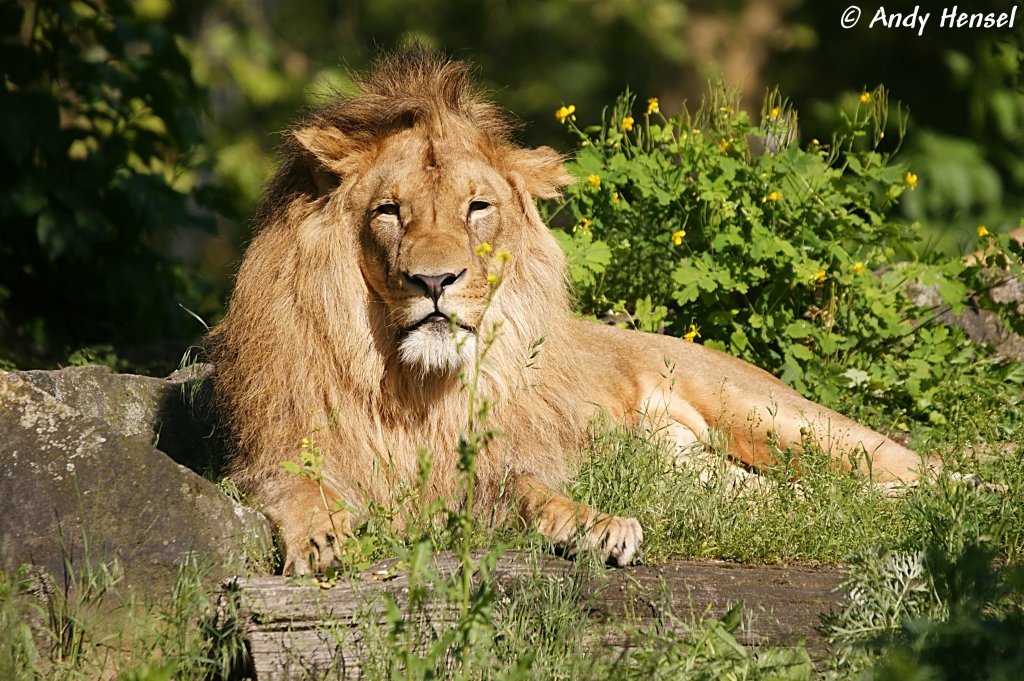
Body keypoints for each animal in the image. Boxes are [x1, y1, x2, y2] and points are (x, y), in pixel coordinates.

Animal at [209, 51, 937, 573]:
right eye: (388, 211)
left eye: (477, 207)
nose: (435, 279)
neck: (417, 383)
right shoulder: (273, 450)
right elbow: (296, 489)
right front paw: (320, 537)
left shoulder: (500, 461)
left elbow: (535, 491)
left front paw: (600, 526)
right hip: (721, 481)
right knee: (808, 502)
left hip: (775, 416)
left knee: (918, 469)